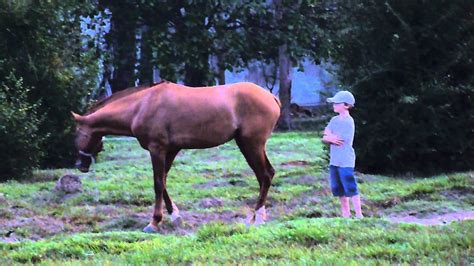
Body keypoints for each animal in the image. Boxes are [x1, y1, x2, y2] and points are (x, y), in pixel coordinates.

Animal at [71, 80, 280, 232]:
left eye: (78, 133)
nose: (80, 164)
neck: (142, 105)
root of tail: (271, 96)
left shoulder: (157, 149)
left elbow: (157, 183)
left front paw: (154, 223)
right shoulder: (170, 150)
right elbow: (163, 182)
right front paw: (175, 216)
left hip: (252, 145)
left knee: (265, 175)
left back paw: (258, 218)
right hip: (248, 145)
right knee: (265, 175)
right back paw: (254, 218)